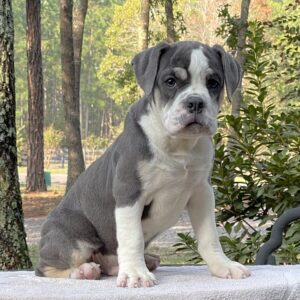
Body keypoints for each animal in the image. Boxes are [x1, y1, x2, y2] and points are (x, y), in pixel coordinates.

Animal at [35, 41, 251, 288]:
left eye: (213, 83)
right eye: (170, 81)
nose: (196, 102)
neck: (178, 145)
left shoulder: (202, 193)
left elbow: (209, 236)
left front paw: (223, 266)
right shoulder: (129, 192)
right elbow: (132, 237)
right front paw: (135, 274)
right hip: (74, 234)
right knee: (46, 267)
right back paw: (84, 270)